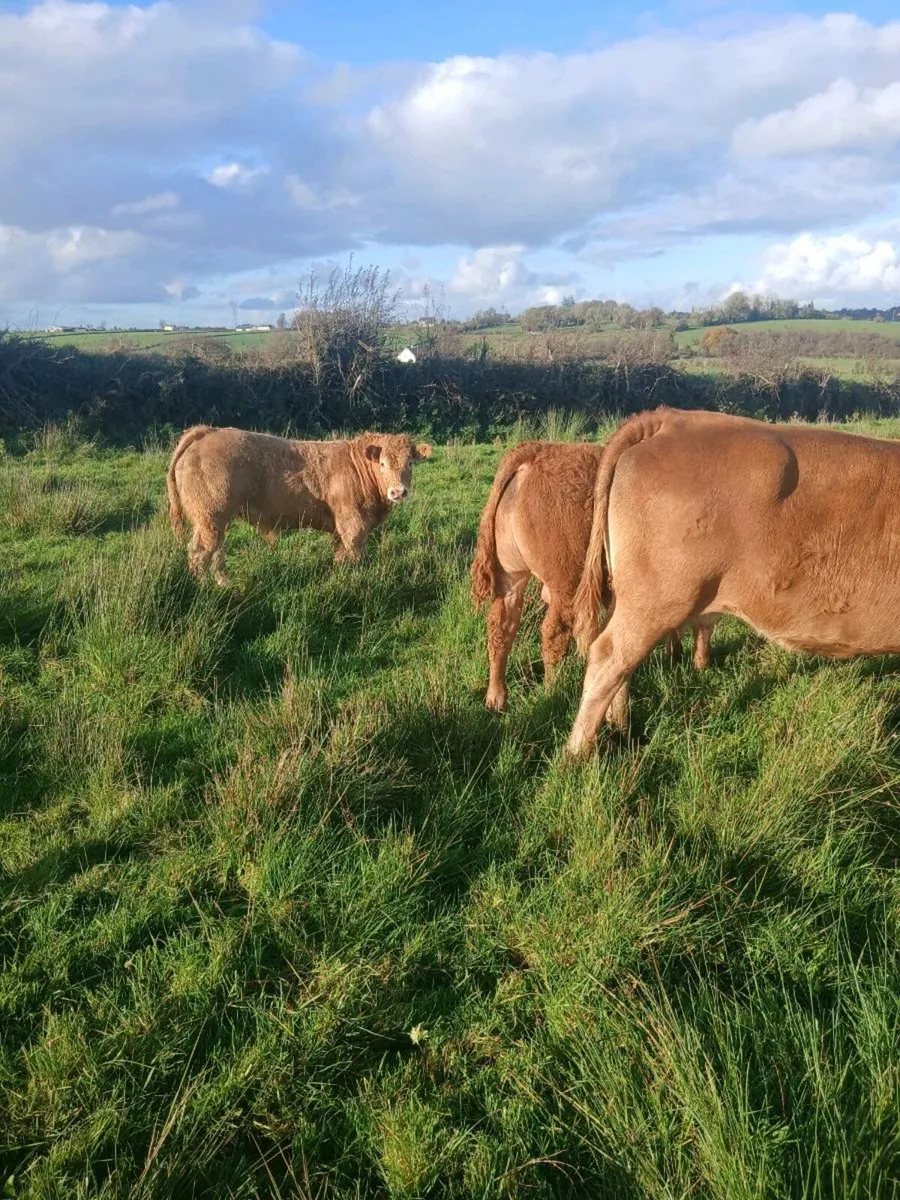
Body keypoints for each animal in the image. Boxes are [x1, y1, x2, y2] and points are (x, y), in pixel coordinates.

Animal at [167, 425, 432, 585]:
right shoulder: (353, 523)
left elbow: (340, 555)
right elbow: (354, 554)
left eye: (410, 463)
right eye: (383, 464)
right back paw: (206, 588)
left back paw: (225, 585)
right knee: (201, 553)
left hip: (213, 520)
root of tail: (208, 431)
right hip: (211, 516)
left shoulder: (339, 528)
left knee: (213, 552)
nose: (398, 491)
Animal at [471, 440, 715, 716]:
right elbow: (704, 623)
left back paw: (495, 698)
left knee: (501, 627)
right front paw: (699, 663)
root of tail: (535, 451)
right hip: (567, 583)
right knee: (554, 633)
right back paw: (552, 692)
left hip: (510, 576)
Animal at [565, 406, 900, 758]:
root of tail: (669, 418)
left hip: (632, 595)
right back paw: (577, 753)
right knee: (609, 656)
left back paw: (621, 728)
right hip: (657, 599)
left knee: (620, 665)